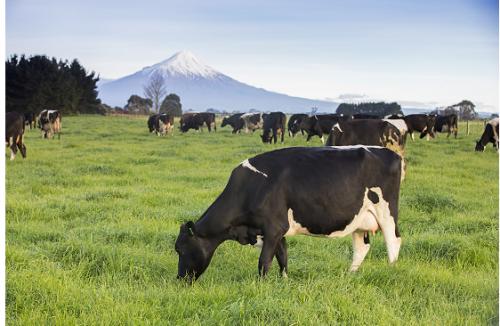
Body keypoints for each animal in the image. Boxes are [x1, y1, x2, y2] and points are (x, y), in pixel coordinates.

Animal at [176, 146, 402, 282]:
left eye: (180, 249)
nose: (180, 279)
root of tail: (391, 153)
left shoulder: (274, 227)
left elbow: (264, 261)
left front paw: (261, 286)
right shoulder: (275, 231)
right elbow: (282, 256)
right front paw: (284, 281)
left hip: (386, 213)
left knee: (393, 241)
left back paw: (391, 270)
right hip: (361, 219)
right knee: (361, 247)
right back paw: (350, 275)